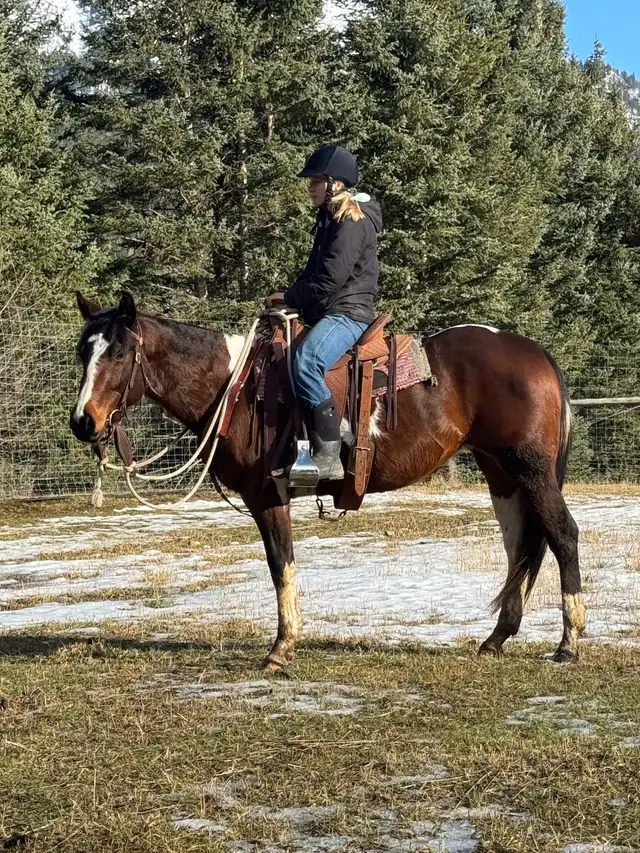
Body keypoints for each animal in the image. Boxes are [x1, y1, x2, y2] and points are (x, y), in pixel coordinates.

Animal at [70, 291, 583, 670]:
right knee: (520, 548)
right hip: (502, 476)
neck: (237, 389)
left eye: (120, 352)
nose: (83, 422)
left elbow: (281, 564)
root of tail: (536, 352)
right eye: (82, 352)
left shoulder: (266, 495)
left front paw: (281, 648)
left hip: (531, 470)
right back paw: (496, 639)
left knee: (562, 536)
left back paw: (569, 643)